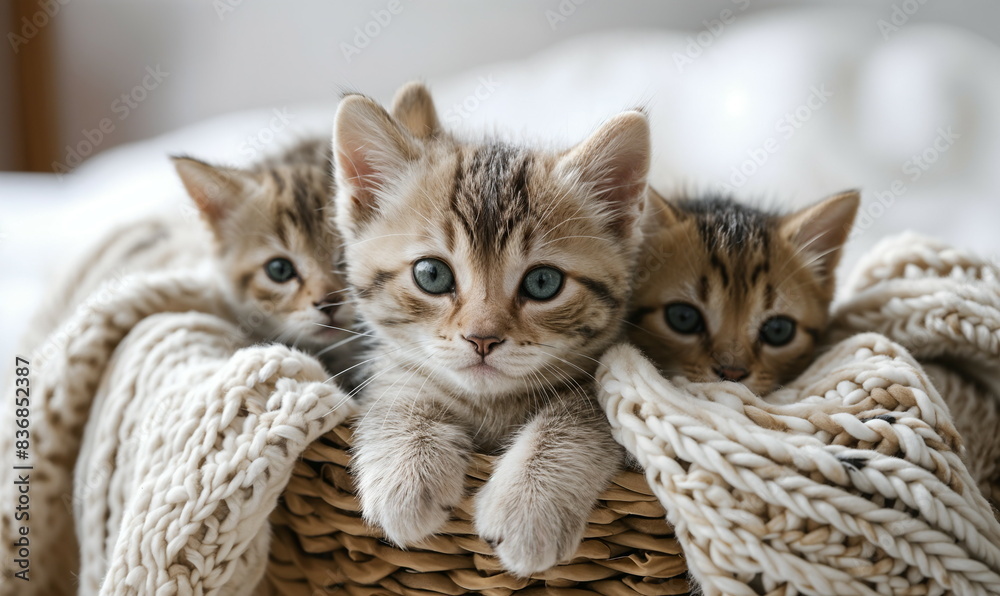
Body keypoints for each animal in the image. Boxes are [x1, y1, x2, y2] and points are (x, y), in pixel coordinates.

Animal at [332, 81, 652, 576]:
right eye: (431, 275)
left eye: (543, 283)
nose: (482, 338)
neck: (492, 406)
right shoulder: (392, 362)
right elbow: (399, 387)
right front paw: (407, 469)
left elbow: (583, 413)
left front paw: (531, 503)